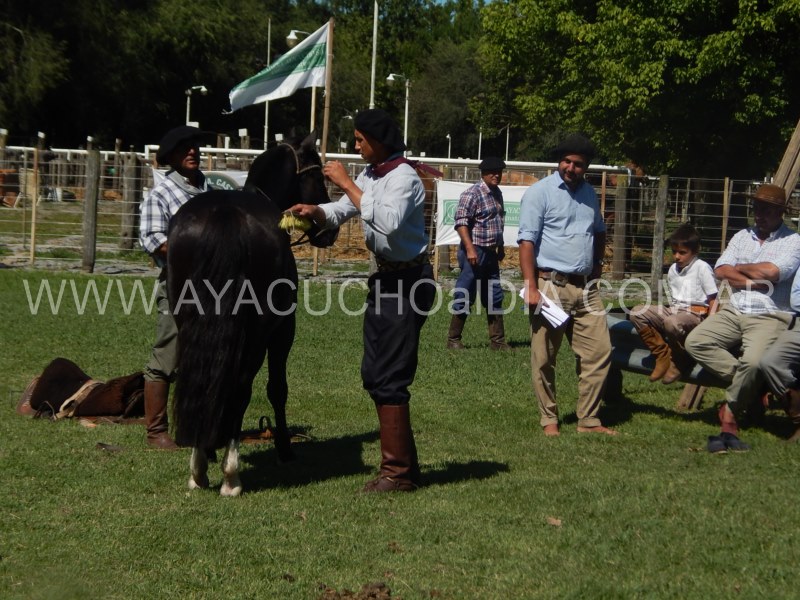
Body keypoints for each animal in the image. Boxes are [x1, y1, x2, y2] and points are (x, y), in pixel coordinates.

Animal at [166, 131, 338, 496]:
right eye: (317, 176)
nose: (329, 231)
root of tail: (225, 213)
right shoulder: (284, 330)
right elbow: (277, 388)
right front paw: (285, 448)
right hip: (258, 335)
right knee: (241, 387)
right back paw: (230, 475)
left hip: (187, 321)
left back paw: (200, 464)